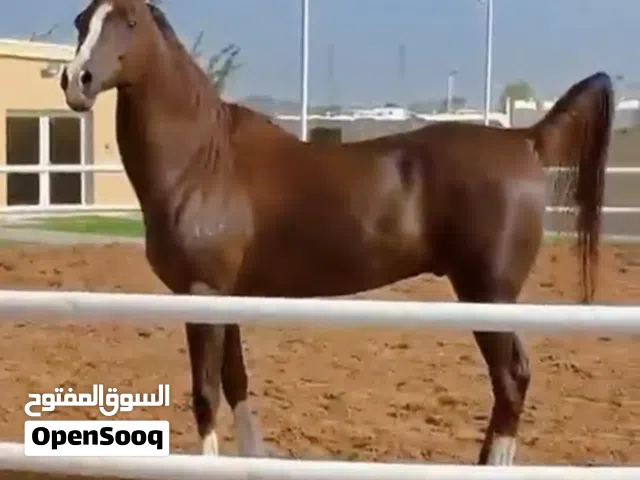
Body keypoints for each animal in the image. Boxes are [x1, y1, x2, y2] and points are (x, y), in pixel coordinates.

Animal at [60, 0, 614, 465]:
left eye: (129, 21)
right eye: (81, 21)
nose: (76, 80)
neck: (203, 161)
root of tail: (526, 139)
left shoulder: (201, 294)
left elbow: (205, 395)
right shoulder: (226, 296)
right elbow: (236, 383)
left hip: (488, 295)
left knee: (512, 381)